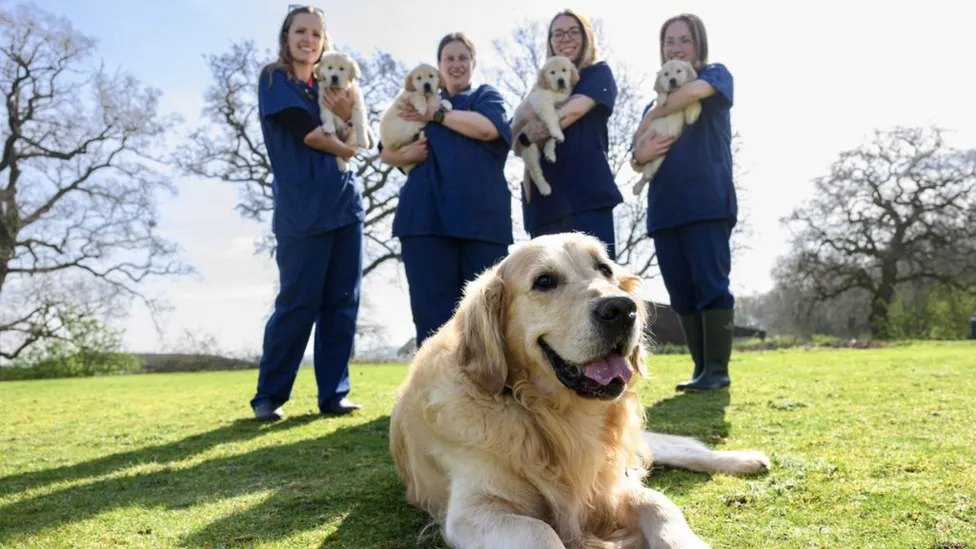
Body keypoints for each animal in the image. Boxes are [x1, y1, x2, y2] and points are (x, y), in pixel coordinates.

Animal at [388, 231, 772, 548]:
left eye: (604, 269)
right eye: (544, 281)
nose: (622, 309)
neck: (552, 415)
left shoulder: (613, 484)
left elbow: (658, 503)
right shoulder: (473, 510)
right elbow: (539, 530)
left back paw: (746, 459)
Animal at [510, 55, 580, 203]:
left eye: (564, 70)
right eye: (552, 73)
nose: (561, 81)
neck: (555, 92)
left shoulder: (559, 104)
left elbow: (555, 120)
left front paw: (556, 136)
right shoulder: (542, 100)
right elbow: (552, 117)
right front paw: (558, 132)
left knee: (549, 141)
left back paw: (550, 153)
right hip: (530, 150)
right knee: (535, 172)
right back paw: (544, 188)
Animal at [632, 59, 700, 196]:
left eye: (679, 71)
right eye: (666, 74)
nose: (672, 80)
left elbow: (694, 104)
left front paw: (694, 110)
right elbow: (661, 95)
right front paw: (662, 98)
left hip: (658, 161)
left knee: (646, 176)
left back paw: (638, 186)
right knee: (644, 173)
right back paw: (637, 188)